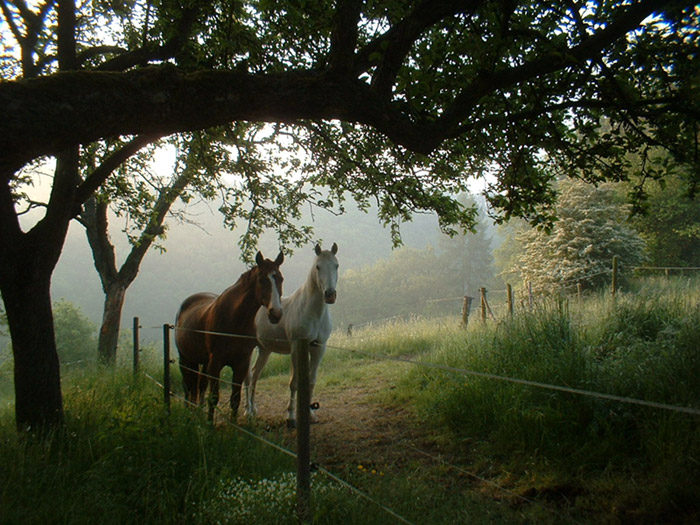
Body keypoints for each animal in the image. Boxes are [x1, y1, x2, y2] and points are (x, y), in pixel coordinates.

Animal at [175, 251, 284, 422]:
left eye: (280, 279)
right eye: (261, 280)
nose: (276, 313)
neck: (234, 320)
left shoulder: (241, 364)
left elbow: (235, 399)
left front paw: (233, 425)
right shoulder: (216, 363)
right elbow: (213, 397)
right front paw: (209, 425)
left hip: (202, 362)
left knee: (199, 385)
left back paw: (198, 410)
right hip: (185, 359)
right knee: (188, 386)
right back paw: (189, 411)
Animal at [246, 242, 340, 426]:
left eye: (336, 265)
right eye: (318, 267)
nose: (330, 294)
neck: (312, 312)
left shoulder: (318, 349)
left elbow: (310, 382)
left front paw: (311, 414)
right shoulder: (296, 348)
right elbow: (294, 383)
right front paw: (290, 416)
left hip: (264, 350)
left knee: (254, 375)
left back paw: (253, 409)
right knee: (247, 377)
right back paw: (247, 411)